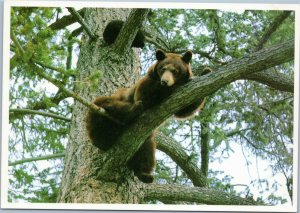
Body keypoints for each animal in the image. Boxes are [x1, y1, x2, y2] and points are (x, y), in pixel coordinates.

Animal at [85, 48, 210, 183]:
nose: (165, 81)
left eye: (175, 70)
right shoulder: (145, 85)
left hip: (142, 139)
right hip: (99, 112)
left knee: (146, 149)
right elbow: (147, 97)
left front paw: (206, 71)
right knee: (106, 105)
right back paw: (132, 111)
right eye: (162, 69)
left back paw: (144, 174)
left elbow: (185, 110)